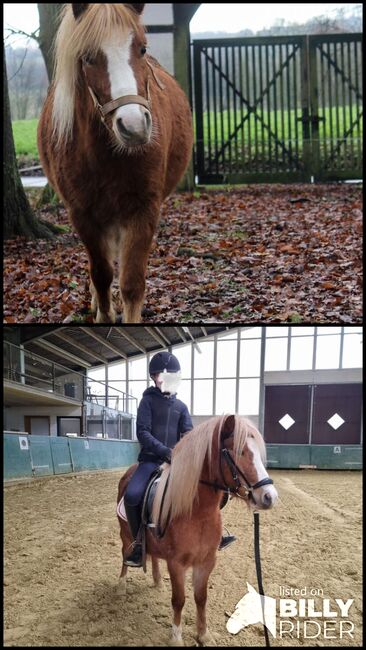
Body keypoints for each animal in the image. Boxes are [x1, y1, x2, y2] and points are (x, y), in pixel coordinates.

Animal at [38, 1, 194, 322]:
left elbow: (132, 283)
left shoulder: (143, 210)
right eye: (87, 57)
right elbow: (101, 274)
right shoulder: (83, 215)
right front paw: (104, 314)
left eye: (142, 49)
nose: (133, 126)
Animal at [117, 416, 278, 644]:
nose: (269, 496)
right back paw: (121, 585)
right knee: (125, 553)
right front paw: (176, 638)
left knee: (154, 555)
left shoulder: (206, 561)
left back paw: (157, 582)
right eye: (239, 451)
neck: (196, 513)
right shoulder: (177, 564)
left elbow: (201, 598)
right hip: (125, 534)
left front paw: (204, 634)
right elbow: (179, 600)